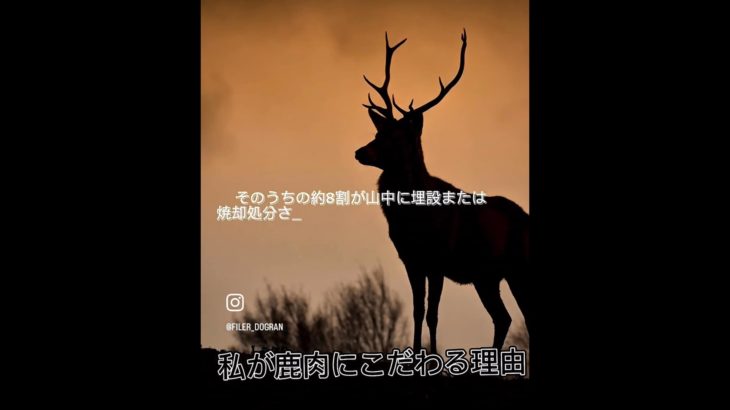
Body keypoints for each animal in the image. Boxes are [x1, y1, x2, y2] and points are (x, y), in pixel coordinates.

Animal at [355, 30, 530, 354]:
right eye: (377, 132)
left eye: (396, 138)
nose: (360, 152)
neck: (412, 219)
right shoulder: (411, 260)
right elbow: (417, 311)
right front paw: (415, 355)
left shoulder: (437, 260)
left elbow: (433, 315)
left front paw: (432, 356)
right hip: (486, 277)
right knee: (504, 318)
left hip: (518, 267)